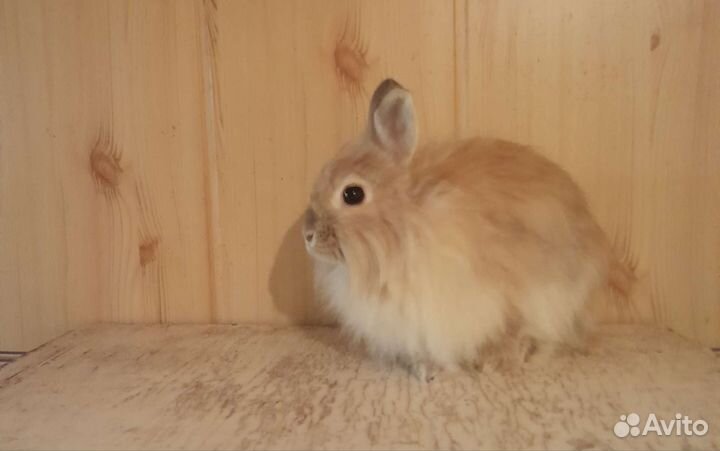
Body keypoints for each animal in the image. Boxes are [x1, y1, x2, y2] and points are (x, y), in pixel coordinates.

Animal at [303, 78, 633, 380]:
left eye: (352, 194)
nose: (307, 235)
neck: (407, 224)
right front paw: (426, 370)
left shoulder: (504, 294)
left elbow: (510, 329)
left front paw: (492, 365)